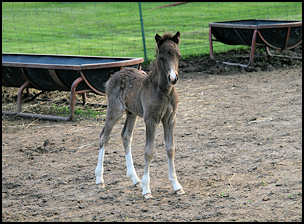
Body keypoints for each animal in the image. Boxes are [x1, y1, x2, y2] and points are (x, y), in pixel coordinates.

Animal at [96, 31, 184, 200]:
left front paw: (177, 186)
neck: (163, 91)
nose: (173, 78)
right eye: (161, 57)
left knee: (125, 136)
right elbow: (149, 151)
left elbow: (170, 148)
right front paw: (147, 190)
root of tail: (113, 76)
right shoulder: (150, 119)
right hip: (115, 110)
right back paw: (99, 179)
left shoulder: (170, 119)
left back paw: (135, 178)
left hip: (131, 113)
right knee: (104, 136)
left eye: (178, 55)